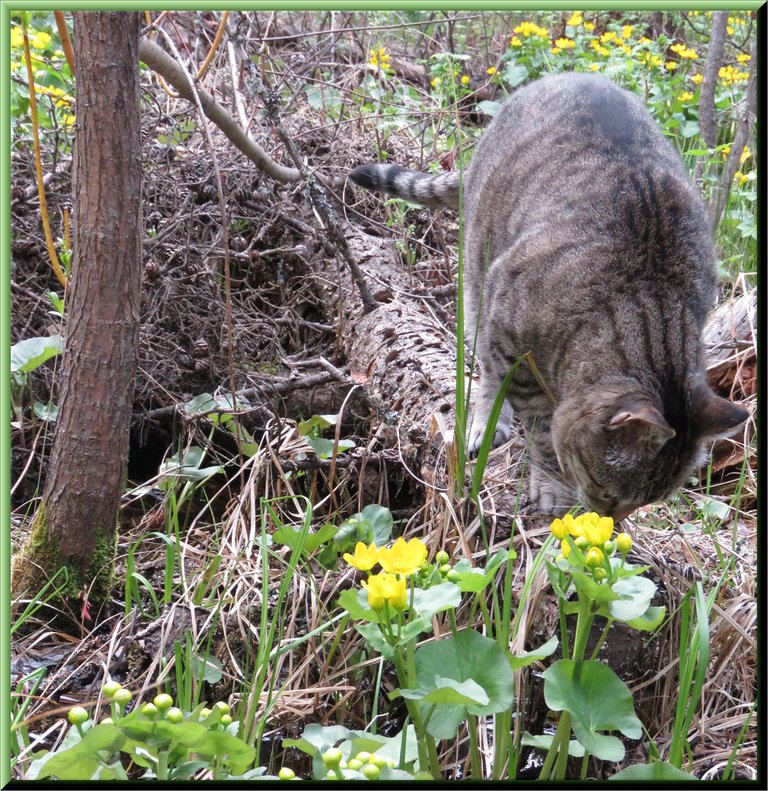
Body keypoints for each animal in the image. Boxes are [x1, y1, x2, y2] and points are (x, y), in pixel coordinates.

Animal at [350, 74, 752, 520]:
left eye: (648, 501)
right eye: (607, 490)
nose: (609, 522)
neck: (650, 300)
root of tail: (564, 76)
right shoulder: (508, 331)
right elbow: (541, 427)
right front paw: (552, 484)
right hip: (479, 275)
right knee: (485, 367)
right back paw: (485, 423)